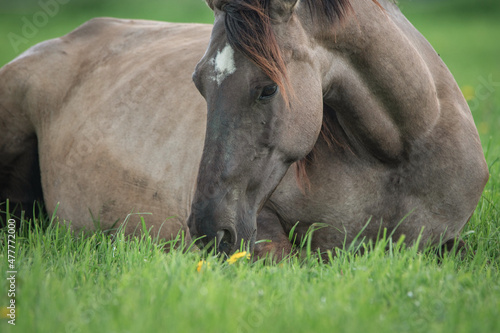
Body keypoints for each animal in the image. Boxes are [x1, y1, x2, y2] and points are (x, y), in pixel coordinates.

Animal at [0, 0, 488, 256]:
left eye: (268, 89)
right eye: (198, 83)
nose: (206, 227)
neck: (399, 154)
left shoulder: (450, 243)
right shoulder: (262, 230)